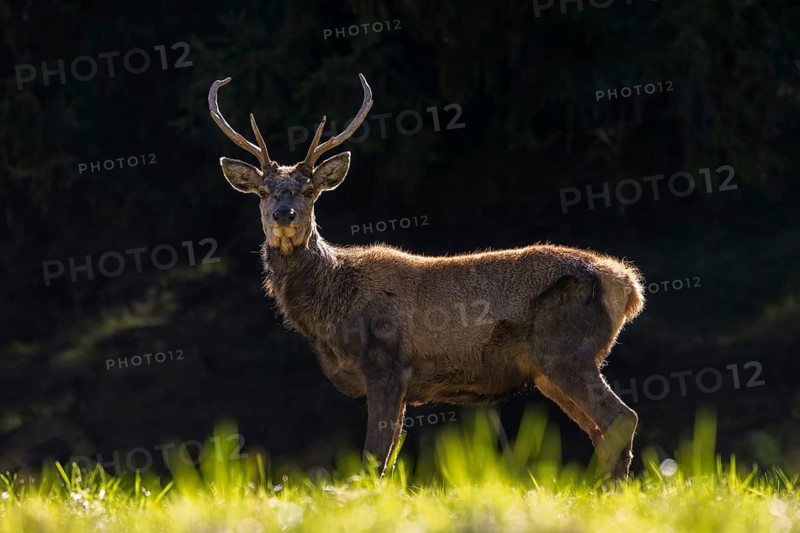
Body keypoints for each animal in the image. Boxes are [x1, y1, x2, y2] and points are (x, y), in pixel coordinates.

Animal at [208, 73, 646, 480]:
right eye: (263, 191)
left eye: (310, 190)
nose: (284, 215)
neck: (330, 308)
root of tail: (628, 285)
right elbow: (388, 460)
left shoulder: (386, 364)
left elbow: (373, 458)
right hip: (550, 369)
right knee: (602, 430)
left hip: (566, 349)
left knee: (620, 418)